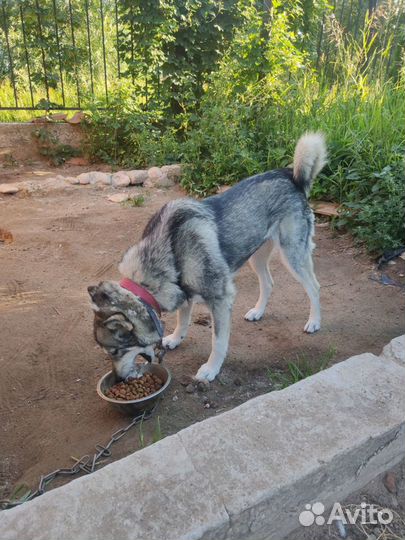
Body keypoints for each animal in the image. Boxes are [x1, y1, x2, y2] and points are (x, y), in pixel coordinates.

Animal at [87, 133, 326, 382]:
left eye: (115, 351)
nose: (118, 379)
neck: (169, 249)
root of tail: (292, 177)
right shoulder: (184, 292)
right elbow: (182, 320)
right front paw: (175, 339)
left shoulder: (220, 299)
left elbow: (218, 341)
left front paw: (211, 369)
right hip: (256, 256)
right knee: (268, 283)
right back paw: (258, 312)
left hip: (292, 256)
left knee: (314, 287)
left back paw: (314, 322)